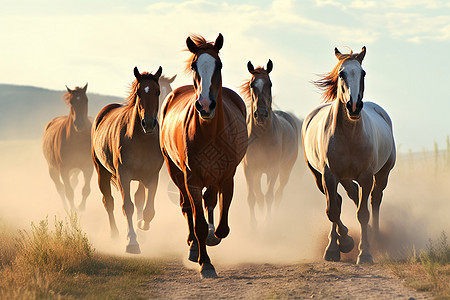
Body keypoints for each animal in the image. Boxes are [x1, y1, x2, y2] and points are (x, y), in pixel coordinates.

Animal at [43, 83, 94, 211]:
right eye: (71, 102)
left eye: (86, 100)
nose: (79, 123)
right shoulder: (64, 169)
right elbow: (69, 192)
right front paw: (72, 211)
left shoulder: (88, 167)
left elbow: (86, 190)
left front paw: (80, 208)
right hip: (53, 169)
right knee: (60, 187)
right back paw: (65, 207)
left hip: (75, 170)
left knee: (74, 181)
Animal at [91, 65, 163, 253]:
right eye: (139, 92)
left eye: (158, 92)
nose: (148, 123)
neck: (141, 140)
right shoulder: (124, 175)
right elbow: (127, 206)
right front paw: (132, 241)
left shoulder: (152, 176)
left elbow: (148, 210)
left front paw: (142, 225)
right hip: (102, 173)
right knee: (108, 202)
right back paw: (114, 234)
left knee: (138, 199)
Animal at [160, 34, 248, 278]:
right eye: (194, 66)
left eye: (219, 65)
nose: (206, 105)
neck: (209, 133)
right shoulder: (192, 179)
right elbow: (197, 220)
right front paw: (205, 263)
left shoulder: (227, 175)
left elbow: (222, 223)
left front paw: (213, 234)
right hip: (174, 171)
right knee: (187, 206)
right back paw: (193, 245)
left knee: (210, 200)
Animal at [241, 59, 300, 225]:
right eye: (252, 84)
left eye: (270, 84)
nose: (261, 114)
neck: (262, 137)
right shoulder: (249, 169)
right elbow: (252, 197)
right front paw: (253, 225)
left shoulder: (273, 170)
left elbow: (269, 196)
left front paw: (268, 223)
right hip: (257, 173)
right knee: (259, 195)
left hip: (285, 170)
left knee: (278, 194)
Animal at [300, 46, 396, 262]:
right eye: (341, 74)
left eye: (363, 73)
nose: (354, 106)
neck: (350, 136)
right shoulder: (329, 176)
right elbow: (333, 210)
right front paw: (338, 246)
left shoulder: (366, 176)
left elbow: (363, 213)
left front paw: (365, 253)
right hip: (322, 177)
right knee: (344, 197)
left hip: (382, 173)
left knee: (374, 199)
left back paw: (376, 237)